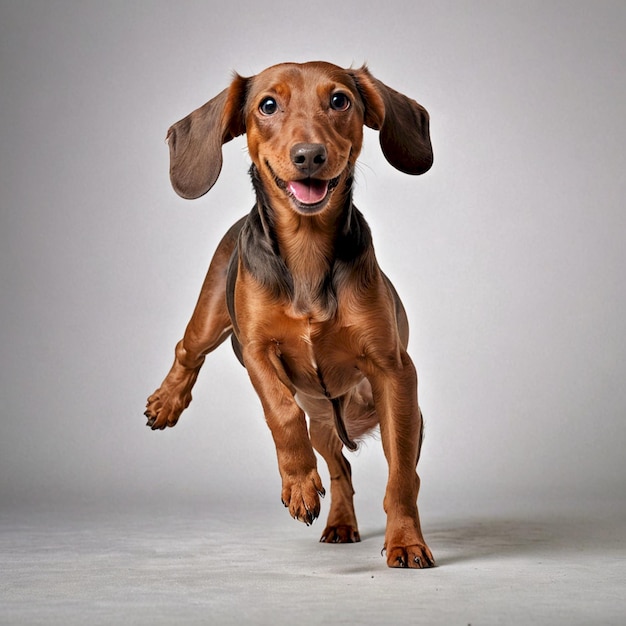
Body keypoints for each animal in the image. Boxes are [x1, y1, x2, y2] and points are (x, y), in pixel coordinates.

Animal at [143, 62, 432, 564]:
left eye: (339, 100)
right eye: (268, 105)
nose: (310, 155)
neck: (306, 247)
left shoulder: (394, 372)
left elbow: (400, 478)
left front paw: (406, 541)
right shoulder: (257, 350)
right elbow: (281, 412)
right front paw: (299, 485)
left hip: (374, 419)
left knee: (359, 470)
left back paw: (342, 523)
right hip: (213, 318)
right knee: (188, 348)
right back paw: (166, 402)